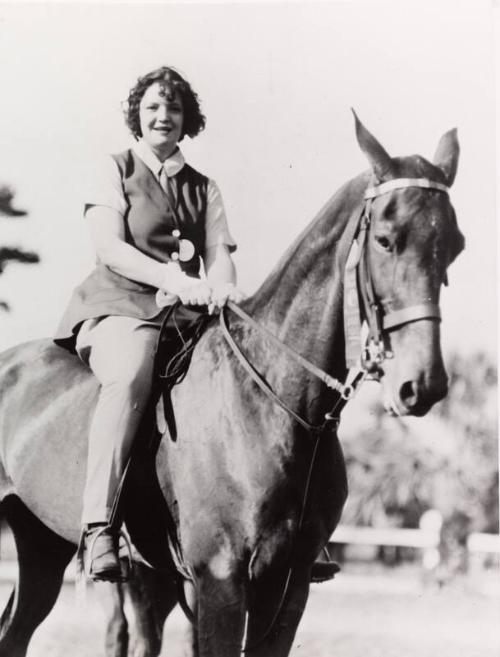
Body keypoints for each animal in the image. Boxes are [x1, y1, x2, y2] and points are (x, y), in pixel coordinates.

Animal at [0, 118, 462, 656]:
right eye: (386, 240)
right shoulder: (219, 579)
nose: (423, 384)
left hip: (43, 546)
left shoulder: (288, 586)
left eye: (455, 245)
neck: (274, 403)